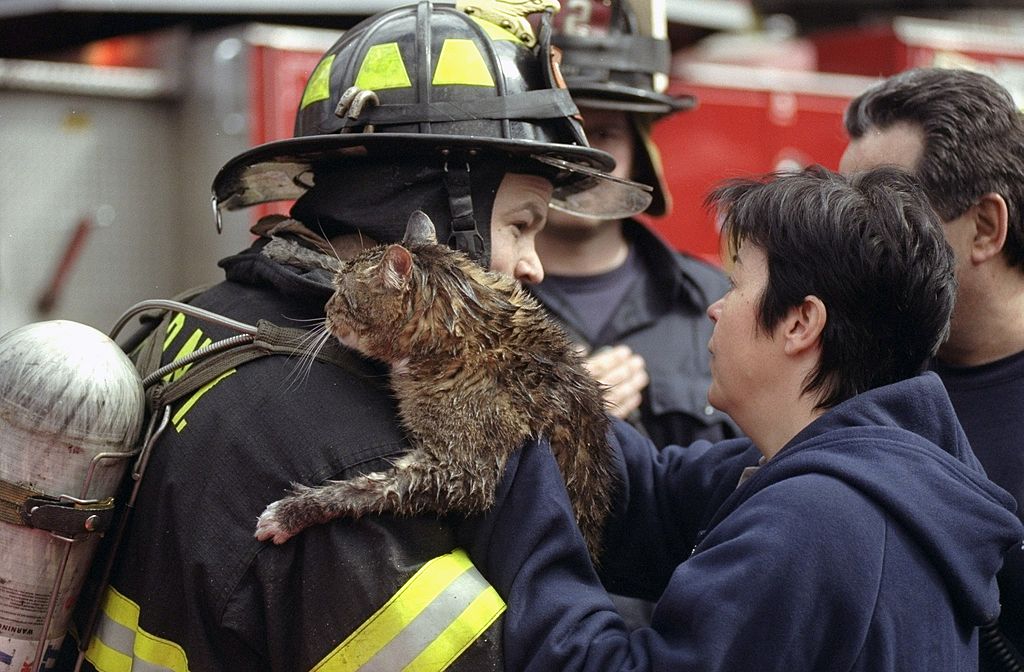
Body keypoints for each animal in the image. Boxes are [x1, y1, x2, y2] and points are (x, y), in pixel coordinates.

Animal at [256, 208, 614, 561]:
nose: (327, 307)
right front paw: (291, 250)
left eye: (344, 298)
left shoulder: (465, 473)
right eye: (336, 290)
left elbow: (367, 489)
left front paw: (292, 512)